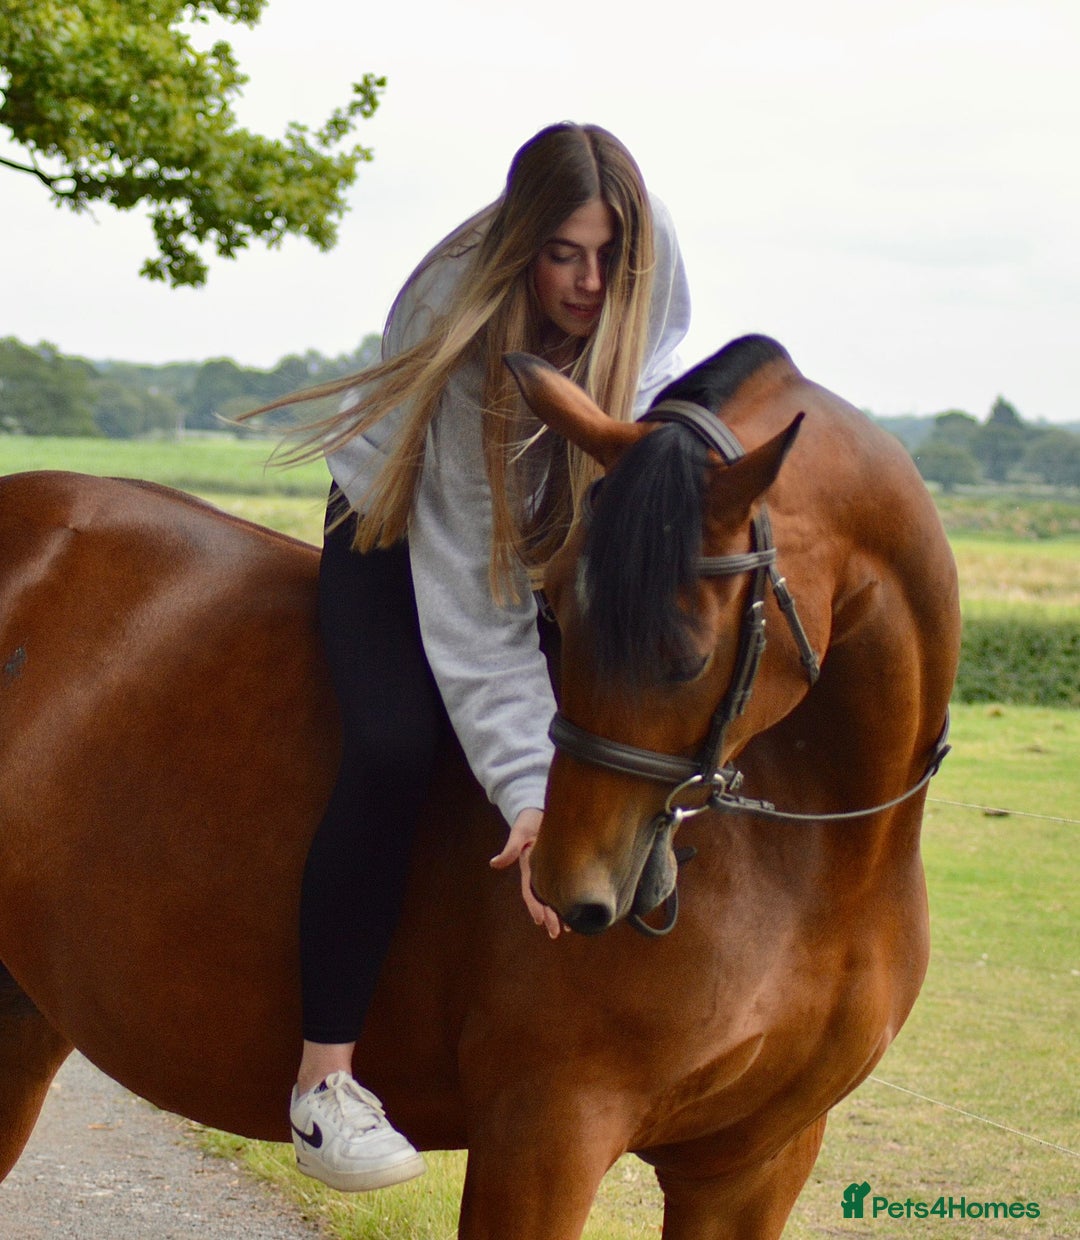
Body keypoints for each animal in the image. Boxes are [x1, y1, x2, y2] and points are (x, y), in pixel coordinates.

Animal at [0, 335, 959, 1238]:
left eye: (687, 655)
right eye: (559, 607)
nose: (567, 887)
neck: (826, 869)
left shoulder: (756, 1163)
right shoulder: (545, 1136)